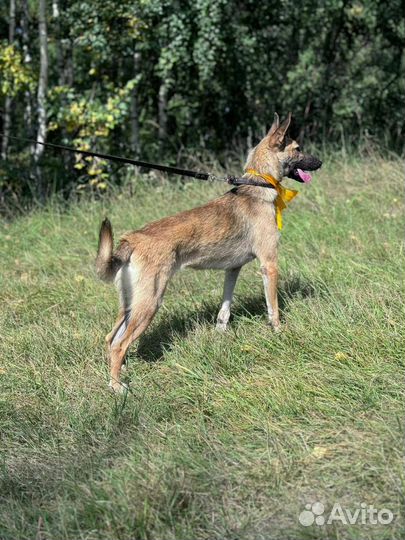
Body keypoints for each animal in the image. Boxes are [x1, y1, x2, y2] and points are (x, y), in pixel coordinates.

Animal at [95, 113, 322, 392]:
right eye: (298, 149)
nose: (320, 162)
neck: (257, 186)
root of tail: (132, 240)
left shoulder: (232, 270)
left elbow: (224, 309)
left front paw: (220, 336)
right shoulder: (269, 264)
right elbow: (274, 309)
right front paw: (279, 333)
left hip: (131, 304)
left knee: (110, 338)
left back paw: (120, 372)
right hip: (149, 303)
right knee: (119, 344)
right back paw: (118, 387)